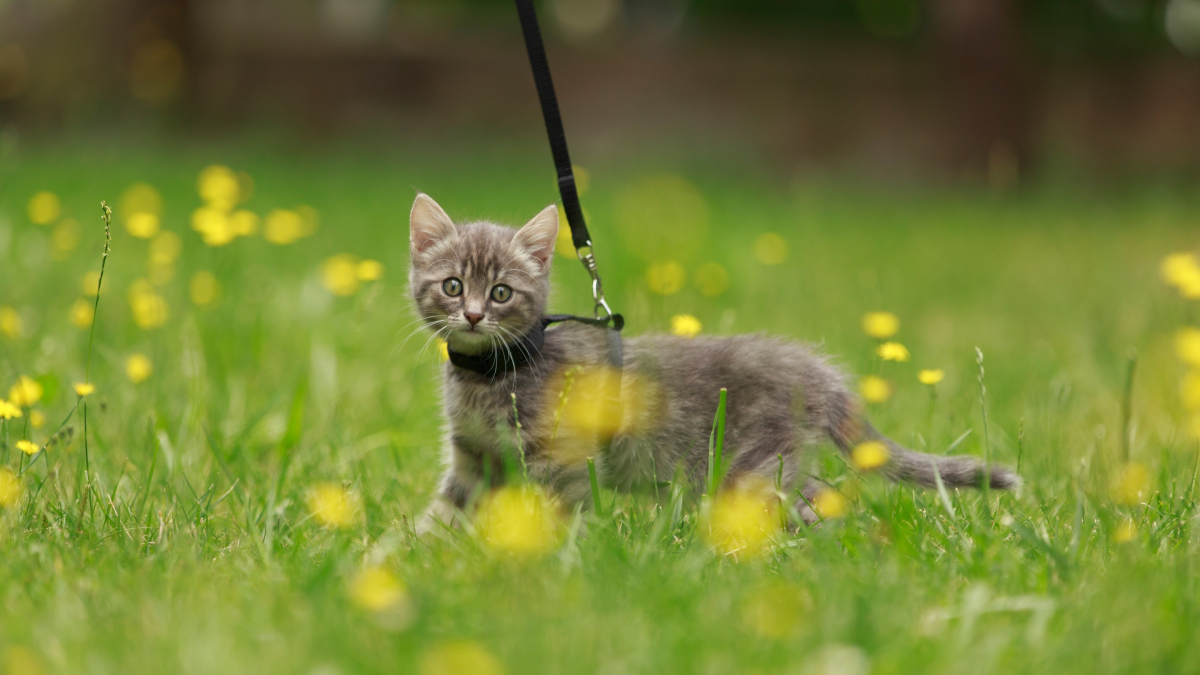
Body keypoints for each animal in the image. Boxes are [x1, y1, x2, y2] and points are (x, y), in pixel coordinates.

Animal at [408, 192, 1017, 528]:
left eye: (502, 293)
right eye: (453, 285)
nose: (473, 316)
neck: (490, 373)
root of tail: (815, 373)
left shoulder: (561, 460)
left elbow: (557, 513)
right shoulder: (473, 458)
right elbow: (444, 514)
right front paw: (411, 558)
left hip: (753, 468)